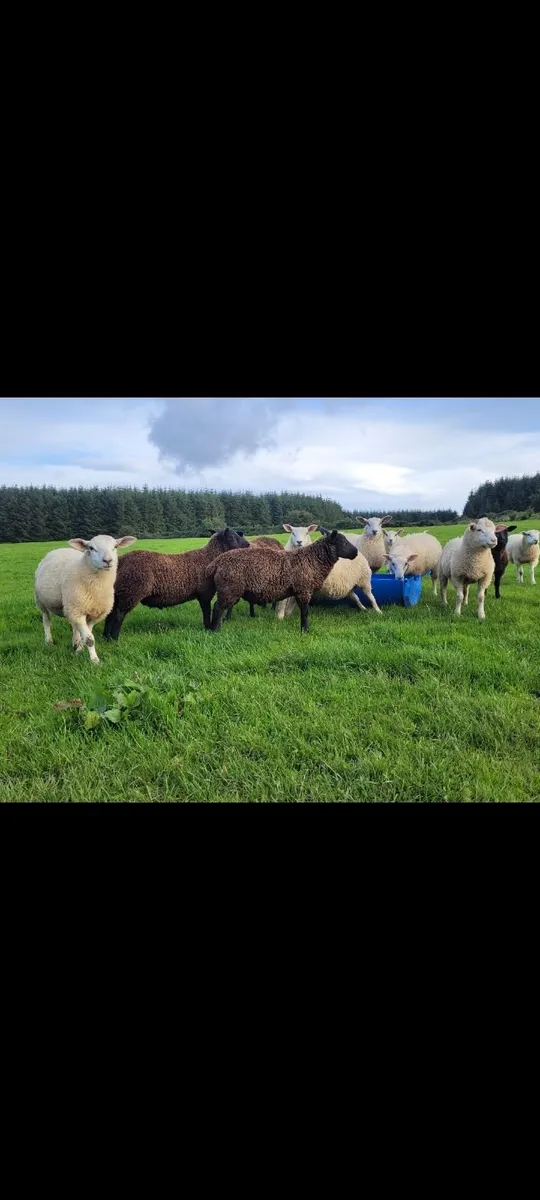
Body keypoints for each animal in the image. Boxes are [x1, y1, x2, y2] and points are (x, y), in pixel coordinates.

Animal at [35, 534, 136, 664]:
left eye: (115, 546)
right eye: (91, 548)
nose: (108, 560)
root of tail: (57, 550)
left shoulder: (94, 614)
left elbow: (87, 635)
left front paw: (79, 650)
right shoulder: (78, 611)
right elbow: (89, 639)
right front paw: (95, 660)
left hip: (71, 606)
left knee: (73, 625)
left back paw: (75, 643)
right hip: (41, 601)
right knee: (46, 620)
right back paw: (48, 641)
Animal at [103, 527, 250, 640]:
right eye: (232, 537)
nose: (248, 545)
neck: (209, 557)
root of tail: (122, 560)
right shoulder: (205, 593)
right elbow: (206, 611)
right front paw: (208, 628)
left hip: (119, 593)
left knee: (110, 614)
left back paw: (106, 637)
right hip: (131, 590)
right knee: (119, 615)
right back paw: (114, 638)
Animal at [208, 530, 358, 634]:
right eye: (343, 542)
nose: (356, 553)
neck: (312, 559)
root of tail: (216, 562)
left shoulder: (299, 591)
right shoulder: (304, 590)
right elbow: (305, 612)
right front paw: (305, 630)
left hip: (229, 589)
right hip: (229, 588)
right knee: (217, 607)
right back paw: (214, 630)